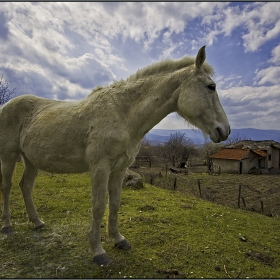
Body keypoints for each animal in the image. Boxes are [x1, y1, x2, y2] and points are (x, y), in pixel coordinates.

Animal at [0, 45, 230, 264]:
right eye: (211, 87)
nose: (225, 130)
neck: (122, 113)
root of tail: (6, 105)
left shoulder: (120, 169)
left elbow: (115, 203)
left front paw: (118, 239)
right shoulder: (100, 168)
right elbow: (99, 205)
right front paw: (98, 251)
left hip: (30, 160)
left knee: (25, 186)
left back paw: (37, 222)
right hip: (9, 156)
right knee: (7, 186)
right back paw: (7, 226)